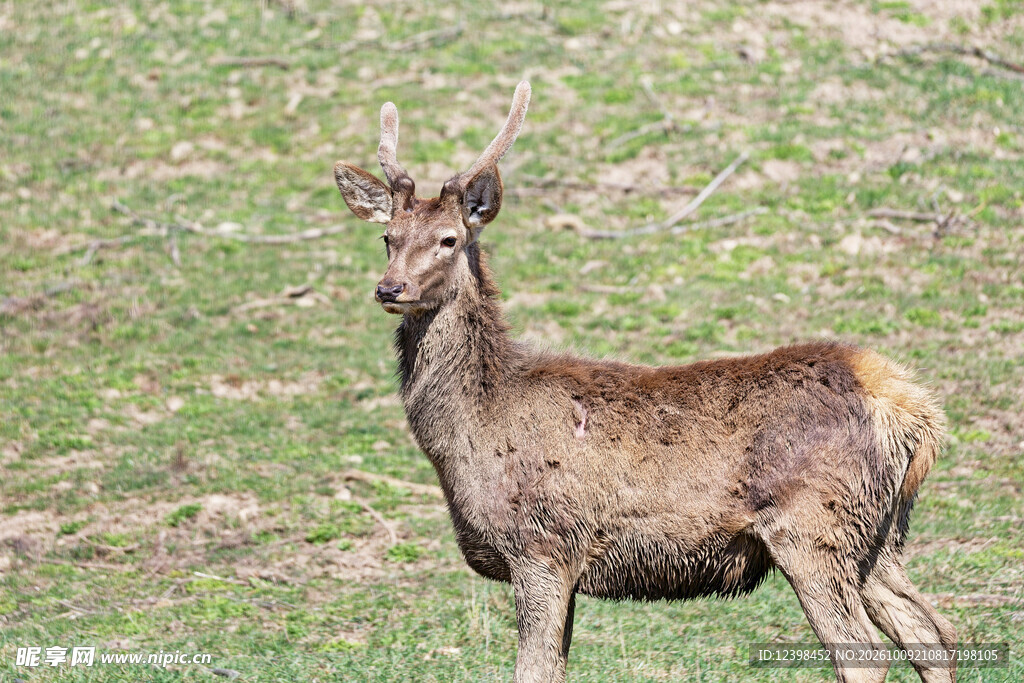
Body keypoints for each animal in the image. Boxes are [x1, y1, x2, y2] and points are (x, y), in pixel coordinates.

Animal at [333, 82, 957, 683]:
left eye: (448, 239)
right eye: (388, 237)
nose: (390, 288)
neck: (471, 429)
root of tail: (909, 407)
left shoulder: (542, 544)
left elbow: (534, 670)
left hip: (812, 525)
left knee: (864, 653)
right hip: (879, 534)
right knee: (933, 634)